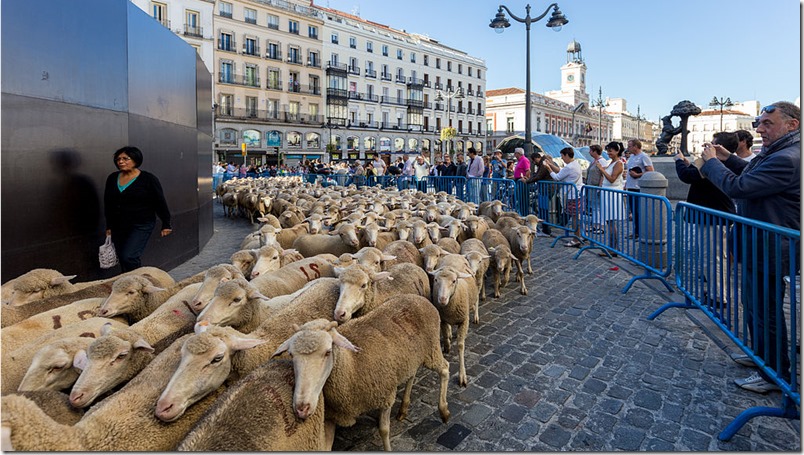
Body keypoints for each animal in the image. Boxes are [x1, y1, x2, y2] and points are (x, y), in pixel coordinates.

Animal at [274, 296, 452, 452]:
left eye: (328, 352)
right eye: (291, 355)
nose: (301, 408)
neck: (350, 364)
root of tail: (420, 299)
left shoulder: (386, 395)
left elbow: (384, 430)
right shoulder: (331, 417)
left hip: (432, 350)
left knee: (445, 369)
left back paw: (444, 411)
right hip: (411, 357)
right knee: (411, 375)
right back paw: (403, 409)